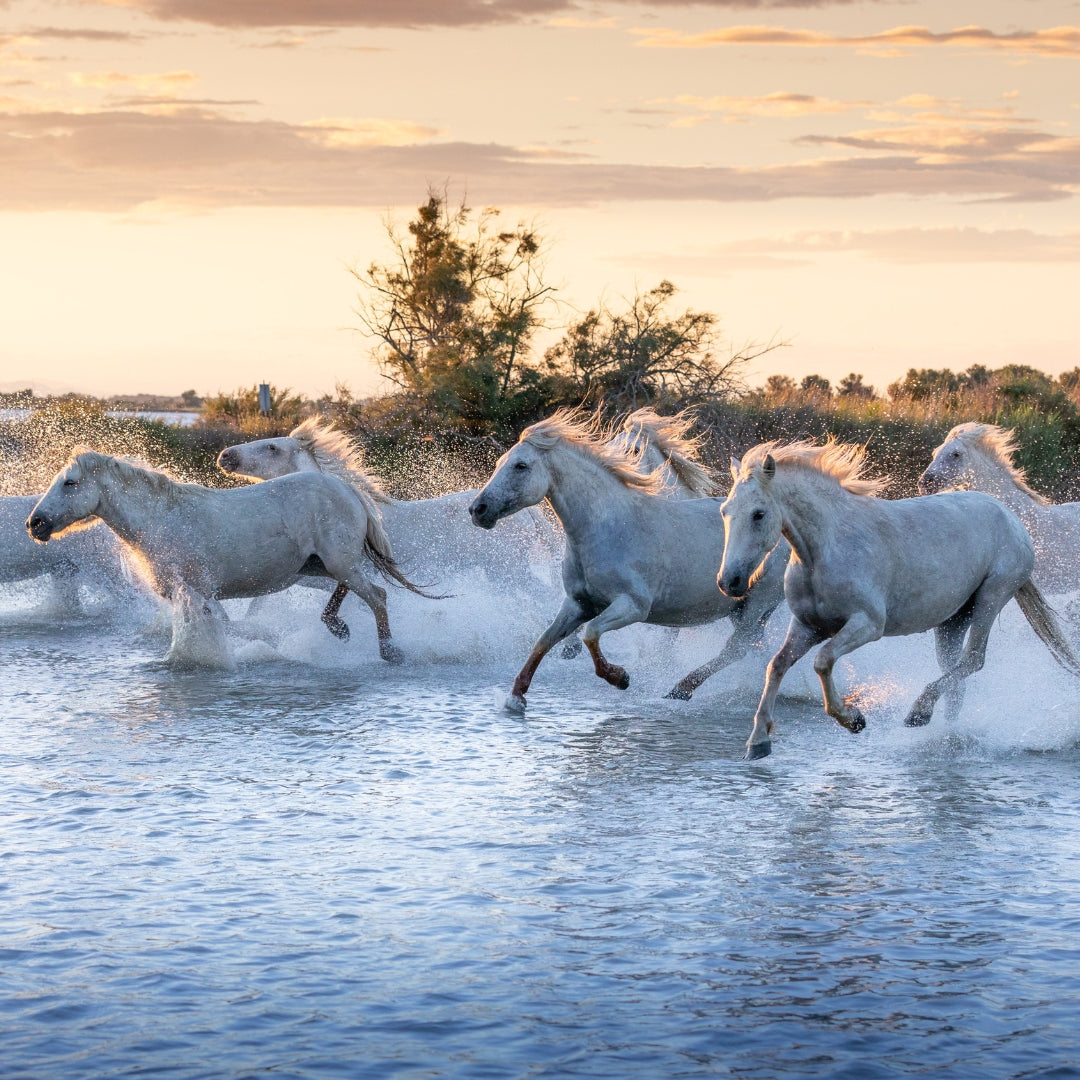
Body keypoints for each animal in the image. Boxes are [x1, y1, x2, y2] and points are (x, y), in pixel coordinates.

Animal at [27, 449, 432, 664]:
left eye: (70, 483)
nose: (35, 524)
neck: (162, 518)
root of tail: (347, 490)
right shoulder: (196, 597)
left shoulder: (194, 593)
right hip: (323, 567)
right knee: (358, 591)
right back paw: (338, 628)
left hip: (339, 564)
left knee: (377, 596)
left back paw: (390, 652)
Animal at [216, 418, 558, 635]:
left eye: (272, 448)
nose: (225, 456)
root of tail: (526, 514)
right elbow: (259, 600)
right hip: (501, 575)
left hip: (509, 572)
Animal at [468, 409, 788, 711]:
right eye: (500, 462)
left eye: (521, 465)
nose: (477, 509)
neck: (605, 529)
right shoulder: (578, 604)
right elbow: (544, 641)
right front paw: (515, 698)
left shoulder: (633, 606)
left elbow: (590, 634)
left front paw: (620, 678)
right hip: (740, 608)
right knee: (753, 647)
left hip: (758, 602)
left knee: (737, 648)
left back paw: (681, 689)